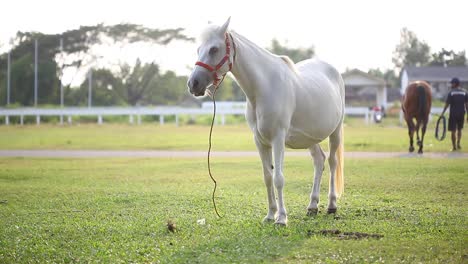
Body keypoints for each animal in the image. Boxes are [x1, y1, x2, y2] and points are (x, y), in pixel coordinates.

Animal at [186, 18, 344, 225]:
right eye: (198, 49)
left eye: (214, 49)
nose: (193, 84)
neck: (264, 88)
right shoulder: (260, 140)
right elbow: (268, 177)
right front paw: (270, 215)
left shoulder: (278, 138)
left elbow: (278, 178)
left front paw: (282, 218)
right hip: (311, 137)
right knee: (319, 161)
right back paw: (312, 206)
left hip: (336, 132)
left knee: (333, 162)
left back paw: (332, 205)